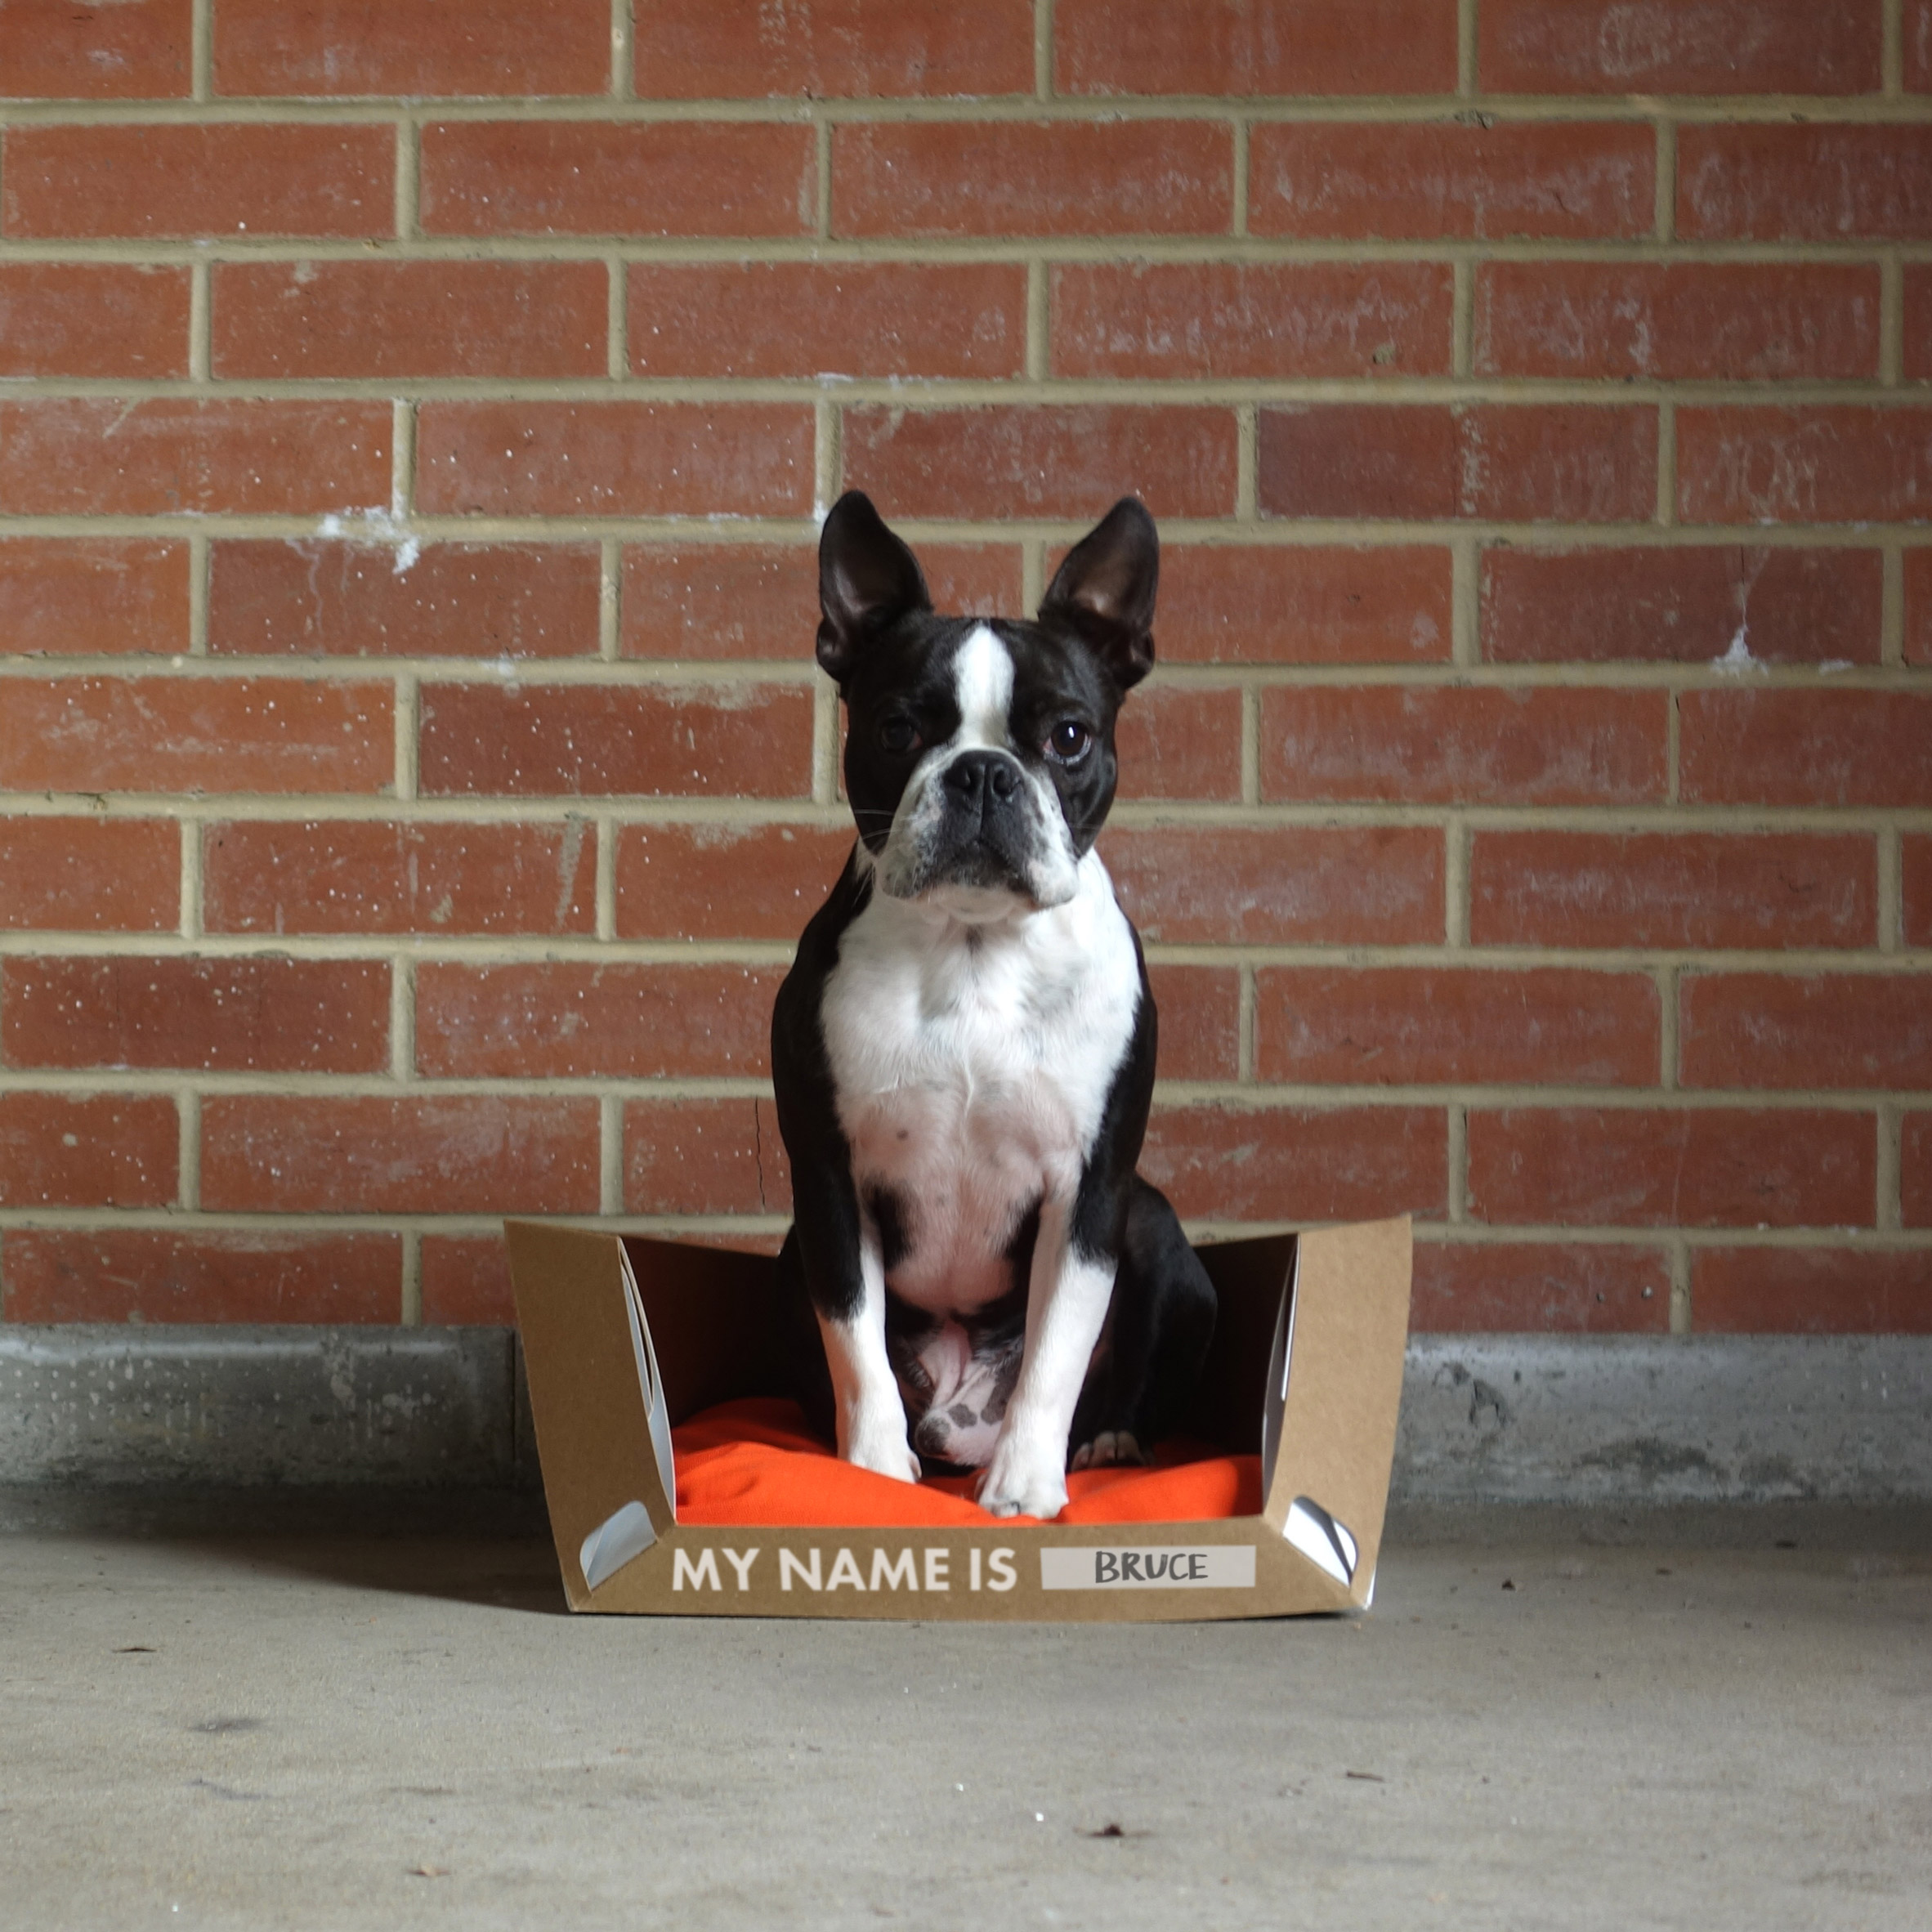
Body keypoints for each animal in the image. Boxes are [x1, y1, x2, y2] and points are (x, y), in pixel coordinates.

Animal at [765, 490, 1205, 1514]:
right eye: (897, 730)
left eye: (1069, 736)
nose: (981, 771)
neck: (973, 948)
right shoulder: (829, 1180)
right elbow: (854, 1340)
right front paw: (873, 1470)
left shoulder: (1091, 1192)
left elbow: (1057, 1350)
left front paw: (1025, 1484)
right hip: (791, 1244)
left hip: (1151, 1218)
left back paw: (1105, 1442)